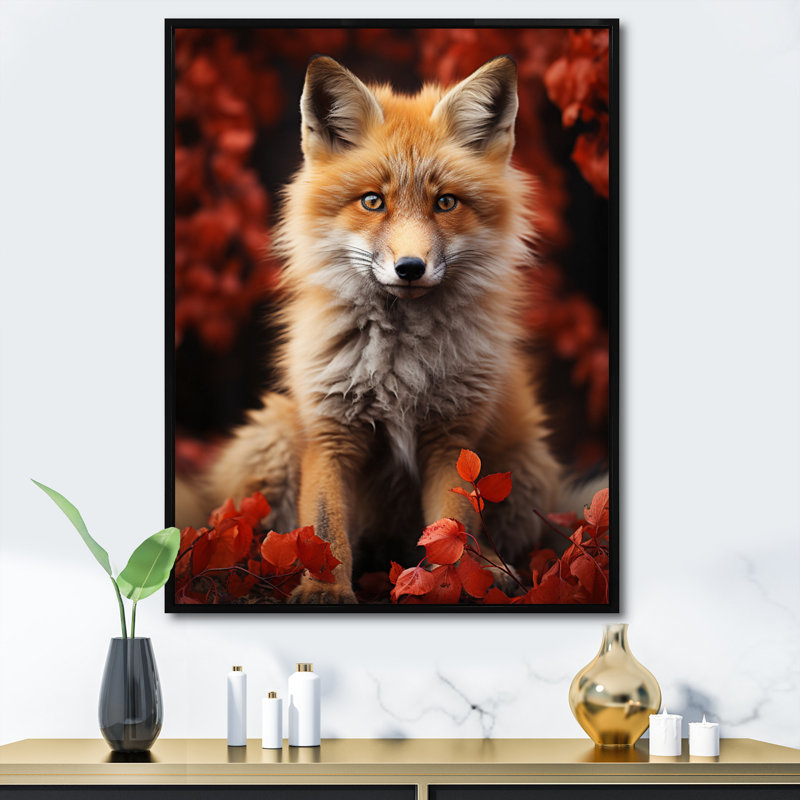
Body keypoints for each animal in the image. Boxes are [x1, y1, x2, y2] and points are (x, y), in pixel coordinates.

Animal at [207, 55, 564, 604]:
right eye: (373, 202)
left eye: (446, 203)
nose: (411, 268)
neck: (400, 364)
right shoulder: (331, 431)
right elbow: (324, 528)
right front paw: (324, 590)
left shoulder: (452, 438)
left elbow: (453, 527)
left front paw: (449, 586)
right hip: (272, 435)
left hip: (528, 465)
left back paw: (496, 571)